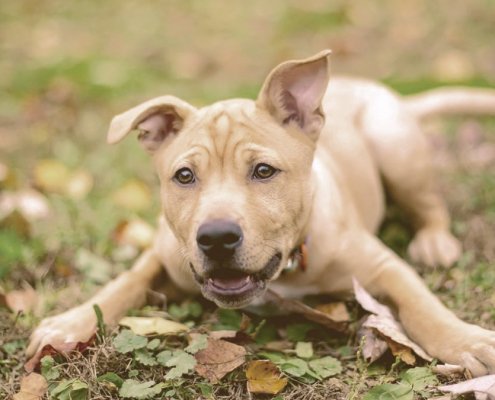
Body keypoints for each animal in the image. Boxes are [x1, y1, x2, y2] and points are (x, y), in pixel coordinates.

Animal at [26, 51, 495, 376]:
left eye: (264, 171)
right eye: (184, 176)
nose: (216, 238)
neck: (286, 268)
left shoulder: (382, 266)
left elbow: (422, 306)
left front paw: (465, 339)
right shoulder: (165, 252)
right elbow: (126, 281)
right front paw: (70, 323)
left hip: (396, 148)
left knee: (430, 205)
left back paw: (435, 242)